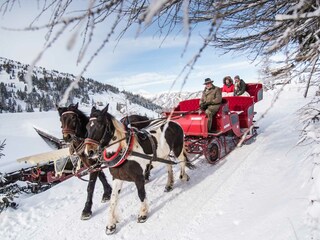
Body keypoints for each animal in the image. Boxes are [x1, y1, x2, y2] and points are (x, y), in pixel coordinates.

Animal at [84, 104, 192, 234]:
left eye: (100, 125)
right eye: (86, 126)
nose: (89, 152)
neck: (124, 151)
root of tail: (173, 122)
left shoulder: (138, 178)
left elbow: (141, 194)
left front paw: (143, 214)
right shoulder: (117, 178)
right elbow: (113, 200)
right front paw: (110, 225)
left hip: (177, 149)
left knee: (182, 161)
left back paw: (183, 176)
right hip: (164, 155)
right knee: (169, 167)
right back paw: (169, 184)